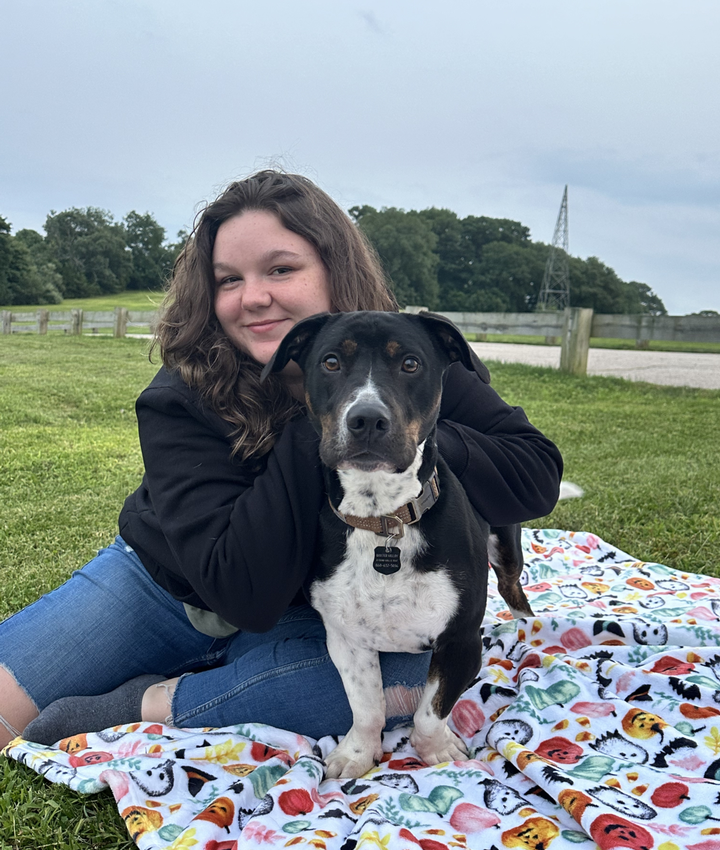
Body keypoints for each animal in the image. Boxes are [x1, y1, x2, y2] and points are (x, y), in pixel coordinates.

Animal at [262, 310, 532, 776]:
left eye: (410, 363)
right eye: (331, 361)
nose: (367, 419)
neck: (382, 518)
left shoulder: (459, 640)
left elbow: (430, 710)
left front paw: (436, 750)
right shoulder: (347, 640)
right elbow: (367, 707)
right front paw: (357, 753)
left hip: (506, 548)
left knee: (515, 592)